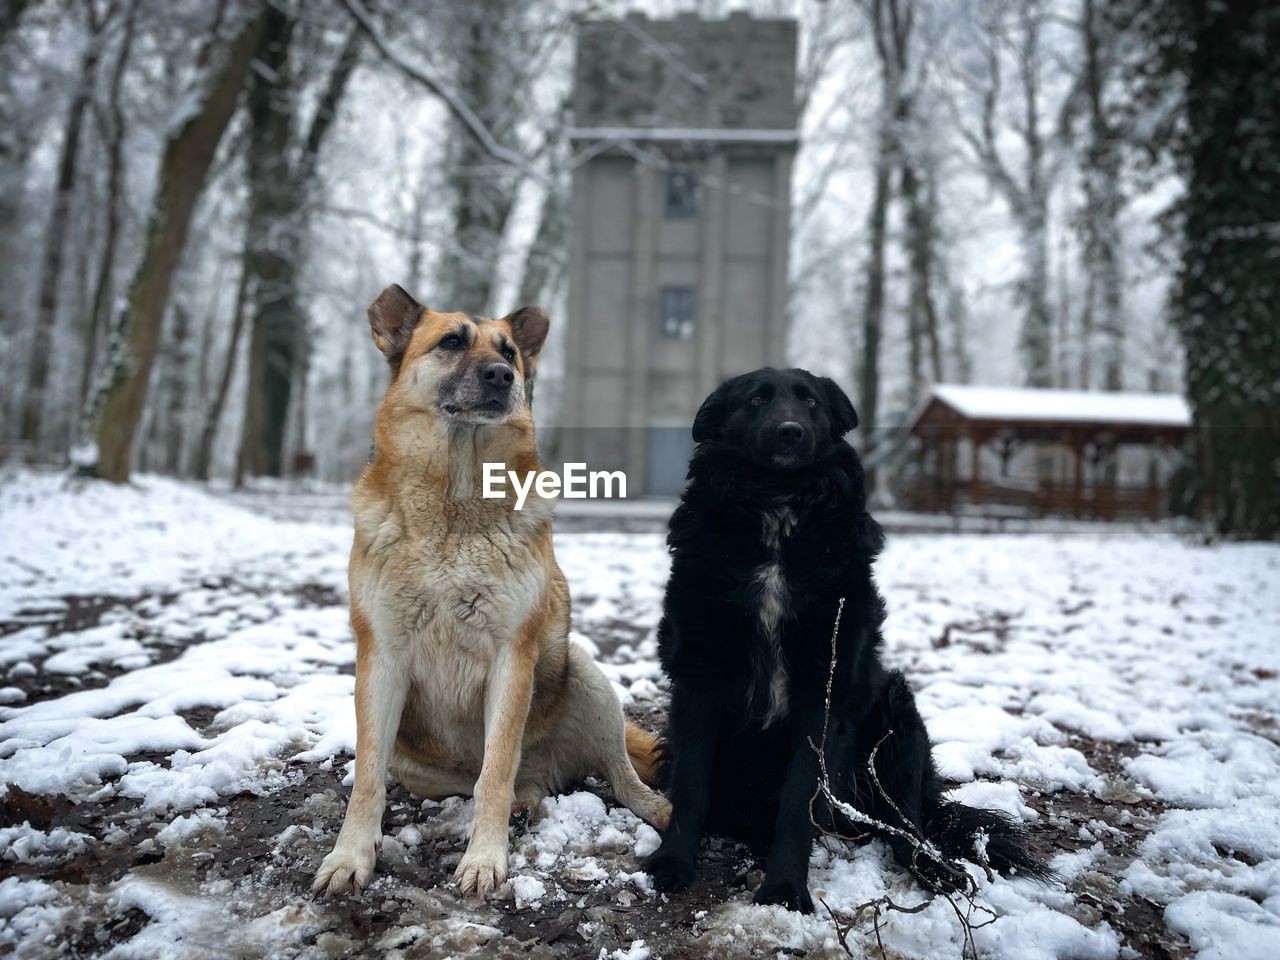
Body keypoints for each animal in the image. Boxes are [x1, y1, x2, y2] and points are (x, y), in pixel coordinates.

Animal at [314, 284, 670, 901]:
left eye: (509, 353)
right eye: (451, 342)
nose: (503, 375)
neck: (454, 508)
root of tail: (549, 771)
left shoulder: (512, 658)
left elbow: (496, 768)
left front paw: (484, 857)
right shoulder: (380, 658)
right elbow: (367, 780)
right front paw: (351, 855)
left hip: (587, 679)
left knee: (617, 779)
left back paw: (657, 809)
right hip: (416, 759)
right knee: (502, 782)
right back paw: (526, 802)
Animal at [640, 371, 1049, 916]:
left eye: (811, 402)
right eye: (756, 399)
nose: (790, 431)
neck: (777, 511)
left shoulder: (826, 692)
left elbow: (799, 802)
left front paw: (784, 889)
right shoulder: (699, 676)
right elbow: (690, 785)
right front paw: (673, 862)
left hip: (896, 712)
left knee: (905, 827)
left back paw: (935, 869)